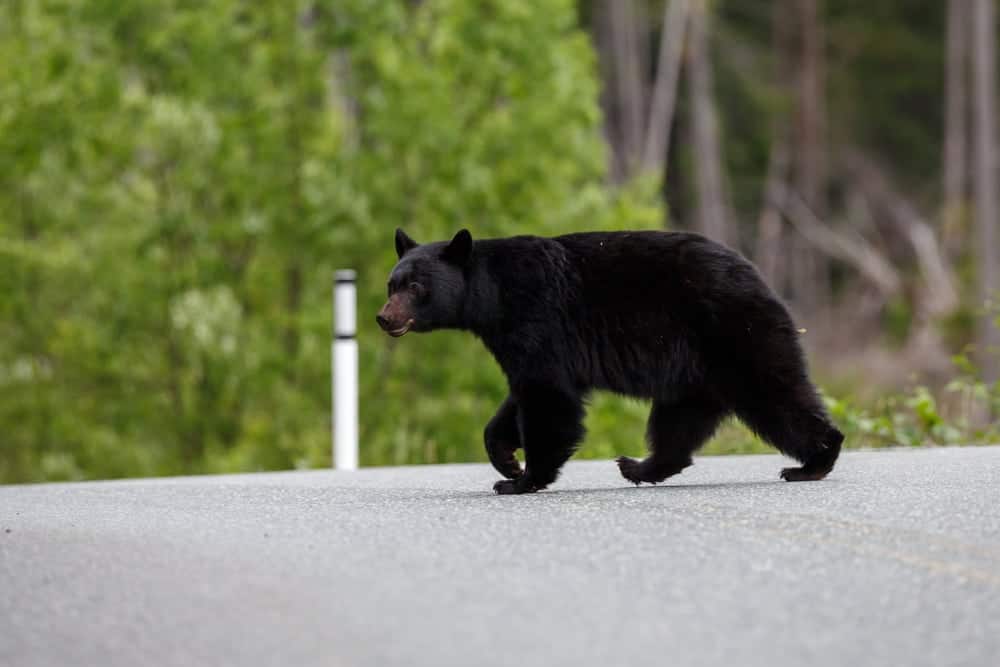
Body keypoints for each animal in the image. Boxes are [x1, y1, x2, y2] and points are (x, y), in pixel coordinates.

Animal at [376, 230, 844, 496]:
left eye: (415, 286)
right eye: (391, 284)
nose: (384, 317)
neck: (493, 297)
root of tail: (758, 275)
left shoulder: (537, 319)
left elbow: (548, 399)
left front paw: (520, 480)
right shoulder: (520, 340)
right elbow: (520, 398)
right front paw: (507, 459)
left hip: (735, 333)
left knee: (775, 394)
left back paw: (812, 463)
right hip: (694, 369)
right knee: (679, 422)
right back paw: (640, 467)